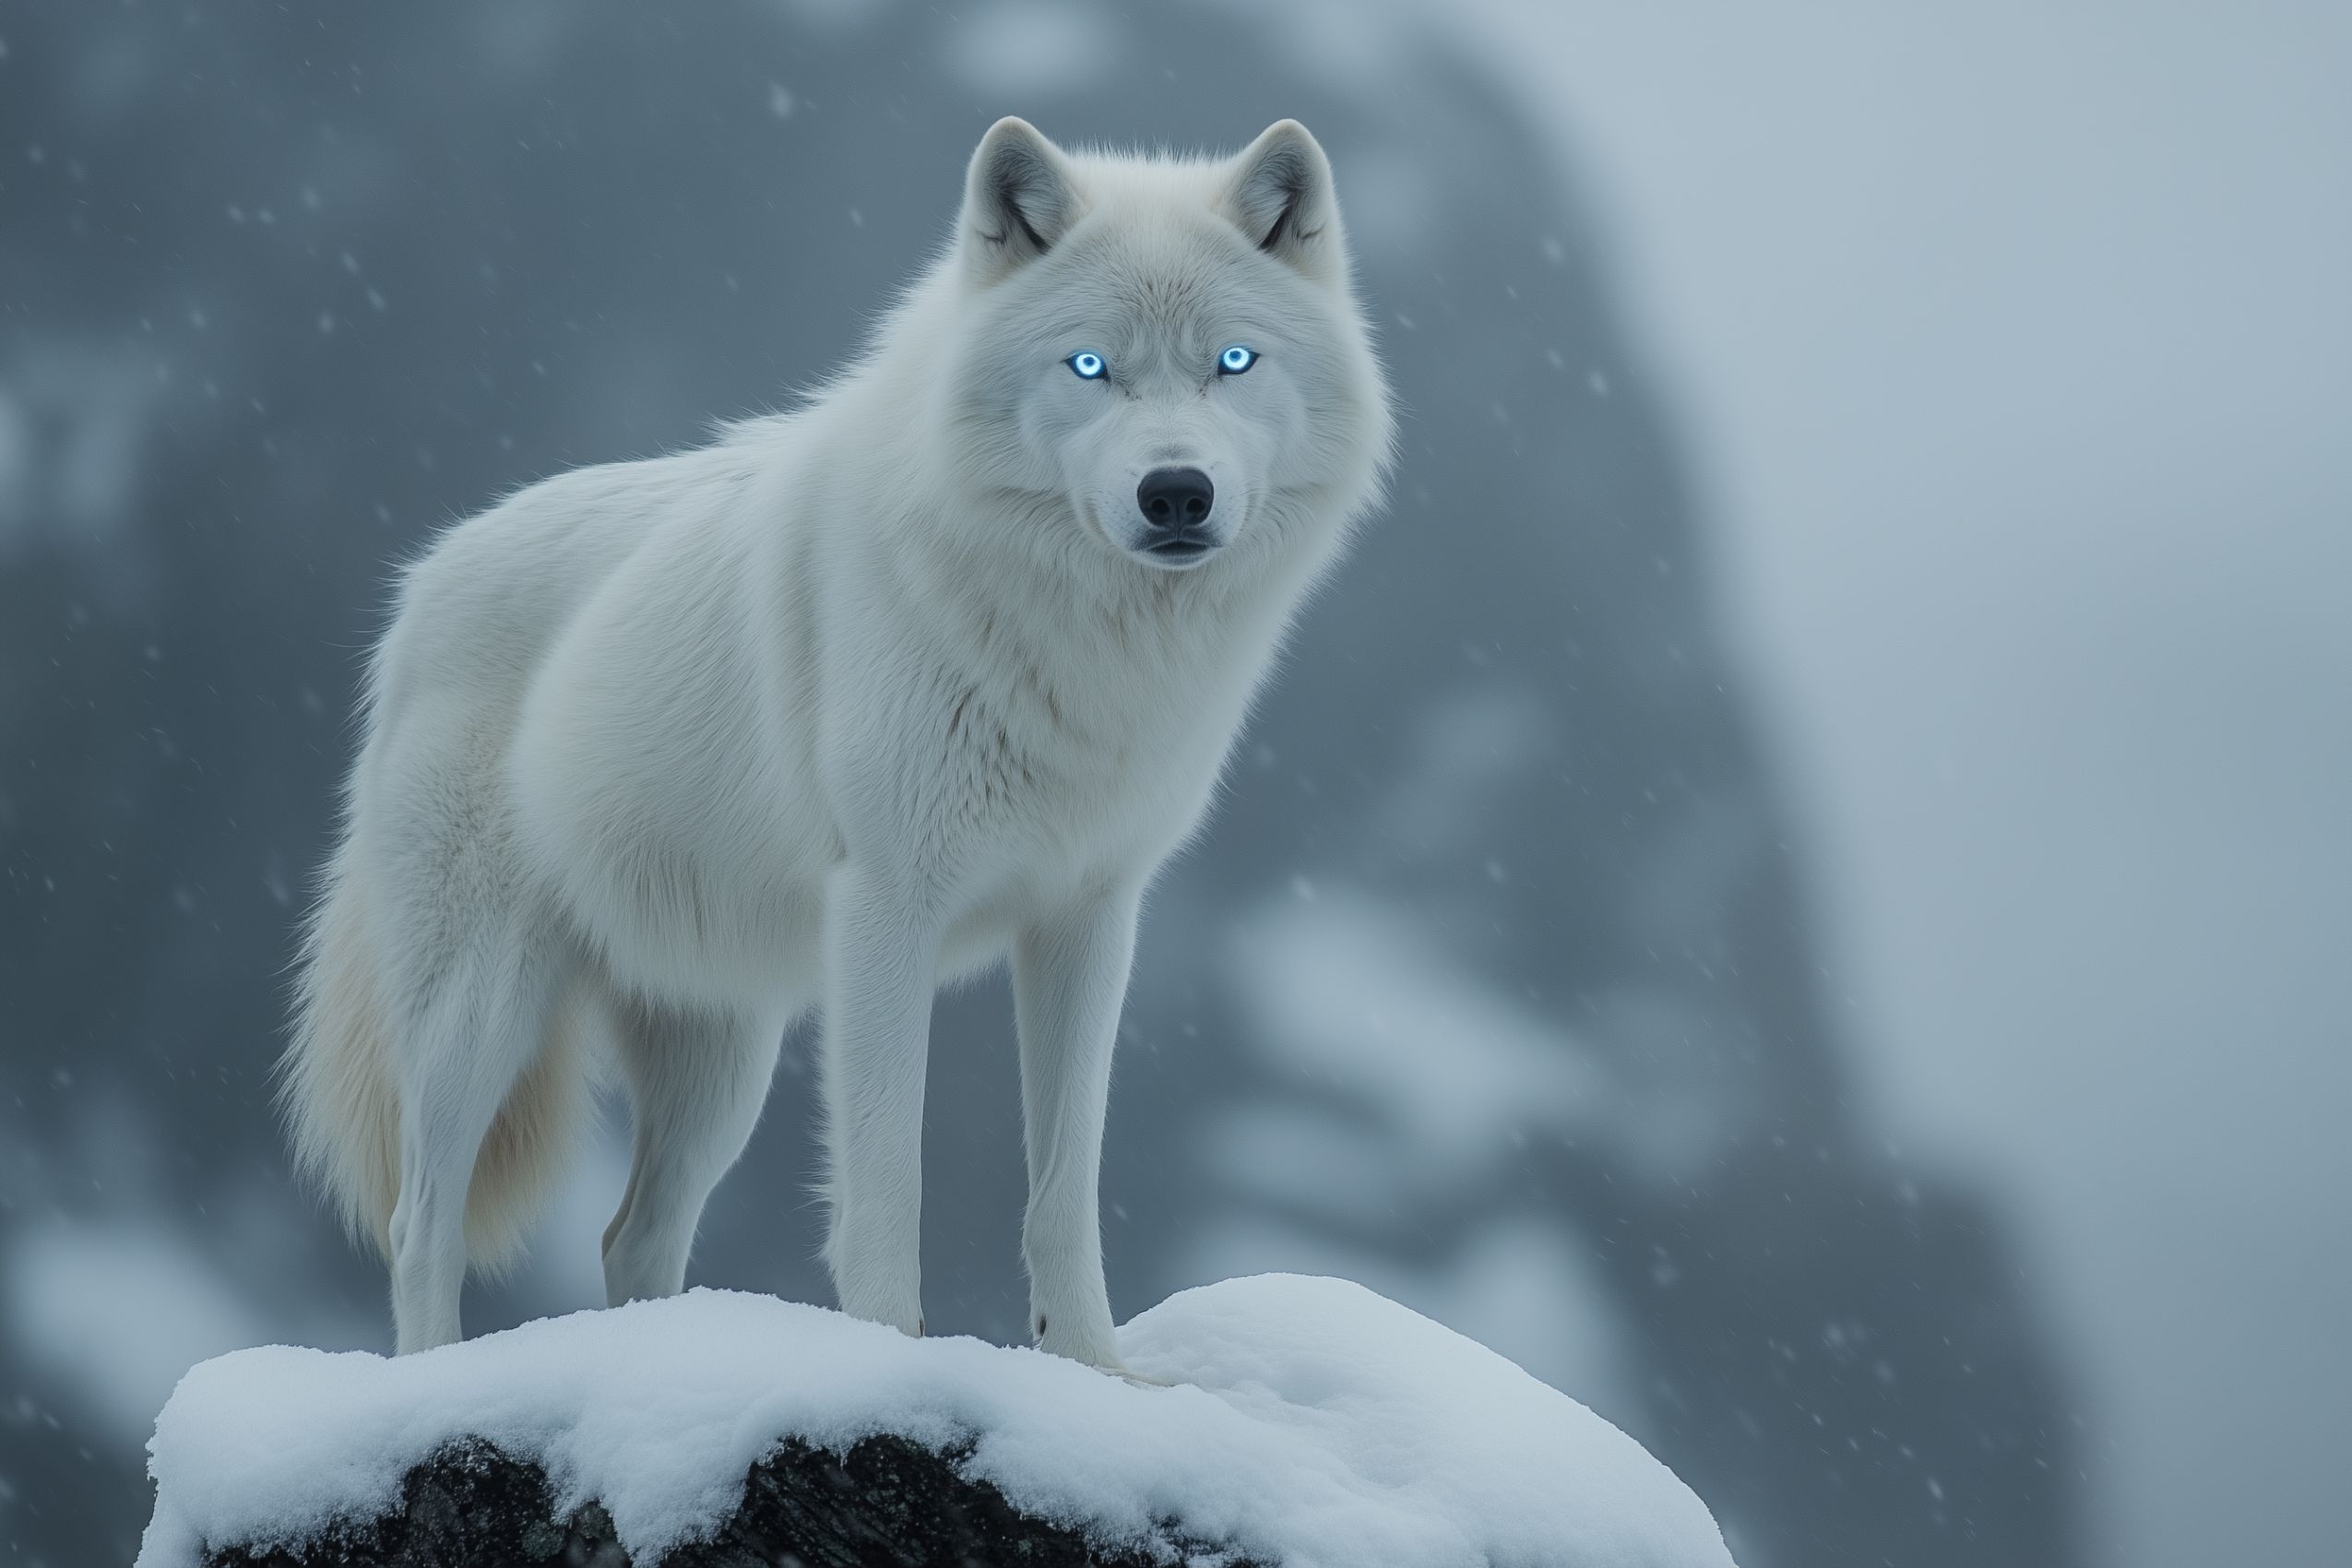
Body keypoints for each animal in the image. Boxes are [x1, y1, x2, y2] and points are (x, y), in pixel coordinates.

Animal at [280, 117, 1395, 1370]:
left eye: (1233, 364)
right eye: (1090, 367)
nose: (1176, 493)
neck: (1081, 651)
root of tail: (418, 587)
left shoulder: (1088, 918)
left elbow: (1064, 1186)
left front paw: (1094, 1370)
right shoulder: (885, 909)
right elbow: (885, 1177)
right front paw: (891, 1355)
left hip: (722, 1058)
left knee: (630, 1234)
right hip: (482, 1010)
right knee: (421, 1222)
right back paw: (433, 1371)